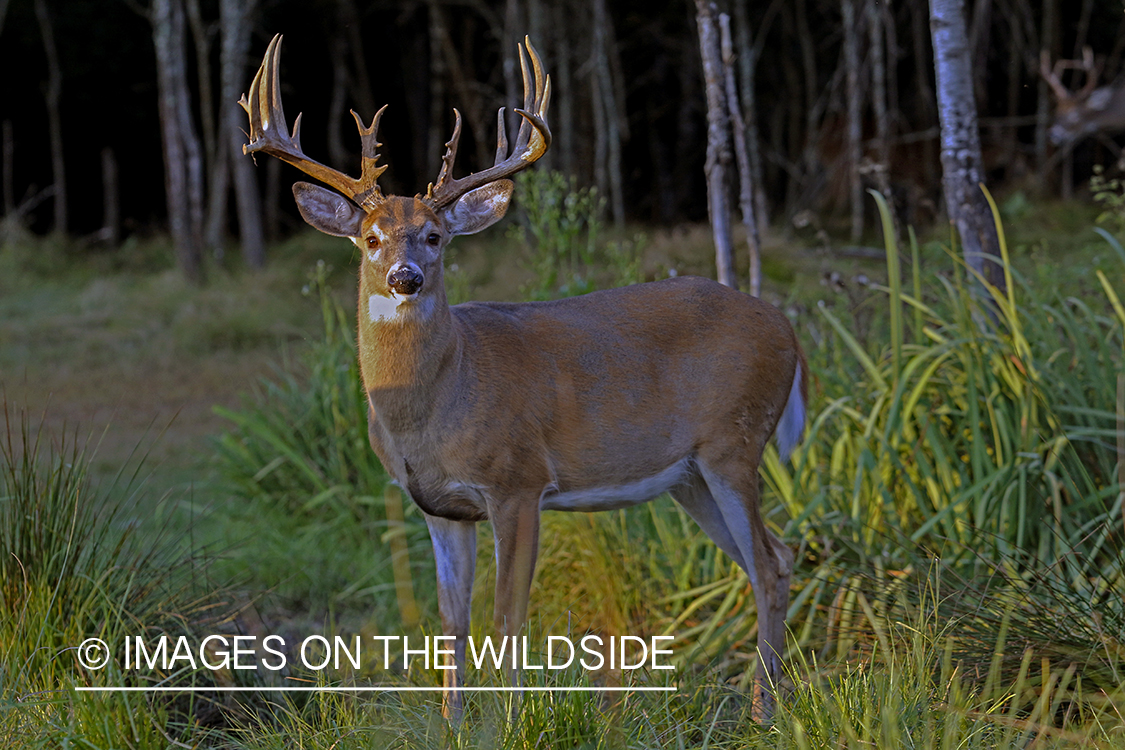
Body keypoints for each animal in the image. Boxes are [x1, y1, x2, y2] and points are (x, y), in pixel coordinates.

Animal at [241, 33, 810, 719]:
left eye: (435, 235)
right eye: (371, 238)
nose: (406, 277)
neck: (439, 406)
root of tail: (787, 329)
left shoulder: (518, 481)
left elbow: (508, 619)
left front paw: (510, 722)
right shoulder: (440, 507)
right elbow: (450, 624)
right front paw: (454, 725)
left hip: (735, 441)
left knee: (771, 562)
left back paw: (763, 713)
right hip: (689, 476)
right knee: (771, 560)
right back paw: (765, 703)